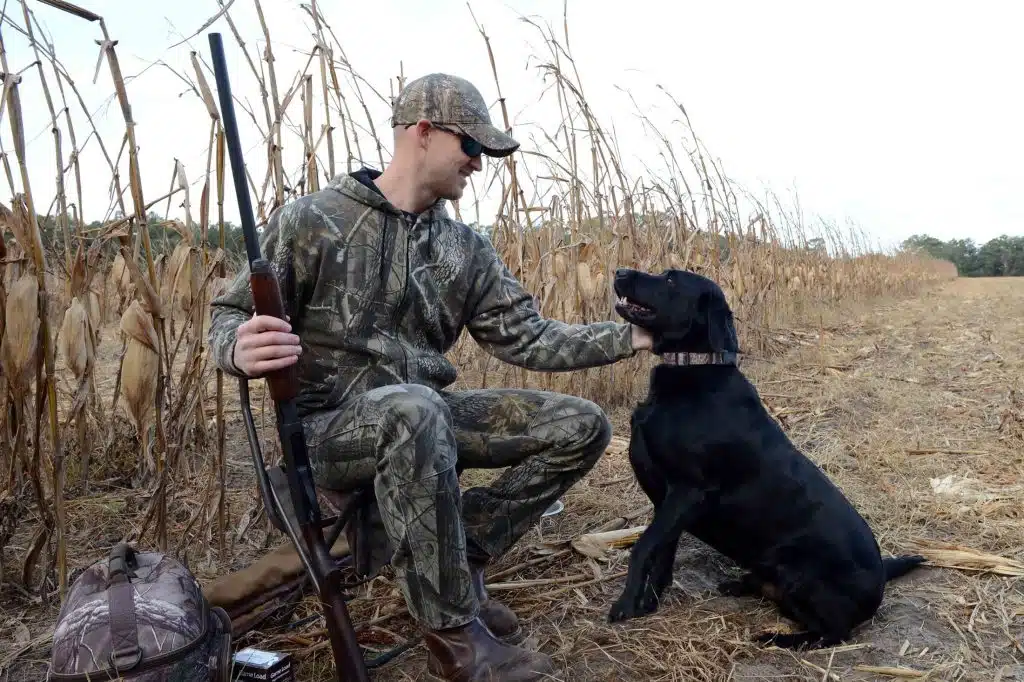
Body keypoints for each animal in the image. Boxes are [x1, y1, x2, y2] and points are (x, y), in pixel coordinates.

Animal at [606, 266, 929, 647]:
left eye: (671, 280)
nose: (619, 271)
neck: (691, 374)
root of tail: (880, 578)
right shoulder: (666, 502)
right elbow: (662, 554)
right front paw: (648, 604)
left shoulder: (687, 491)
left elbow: (642, 547)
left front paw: (626, 604)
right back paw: (740, 584)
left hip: (796, 570)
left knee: (832, 632)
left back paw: (777, 639)